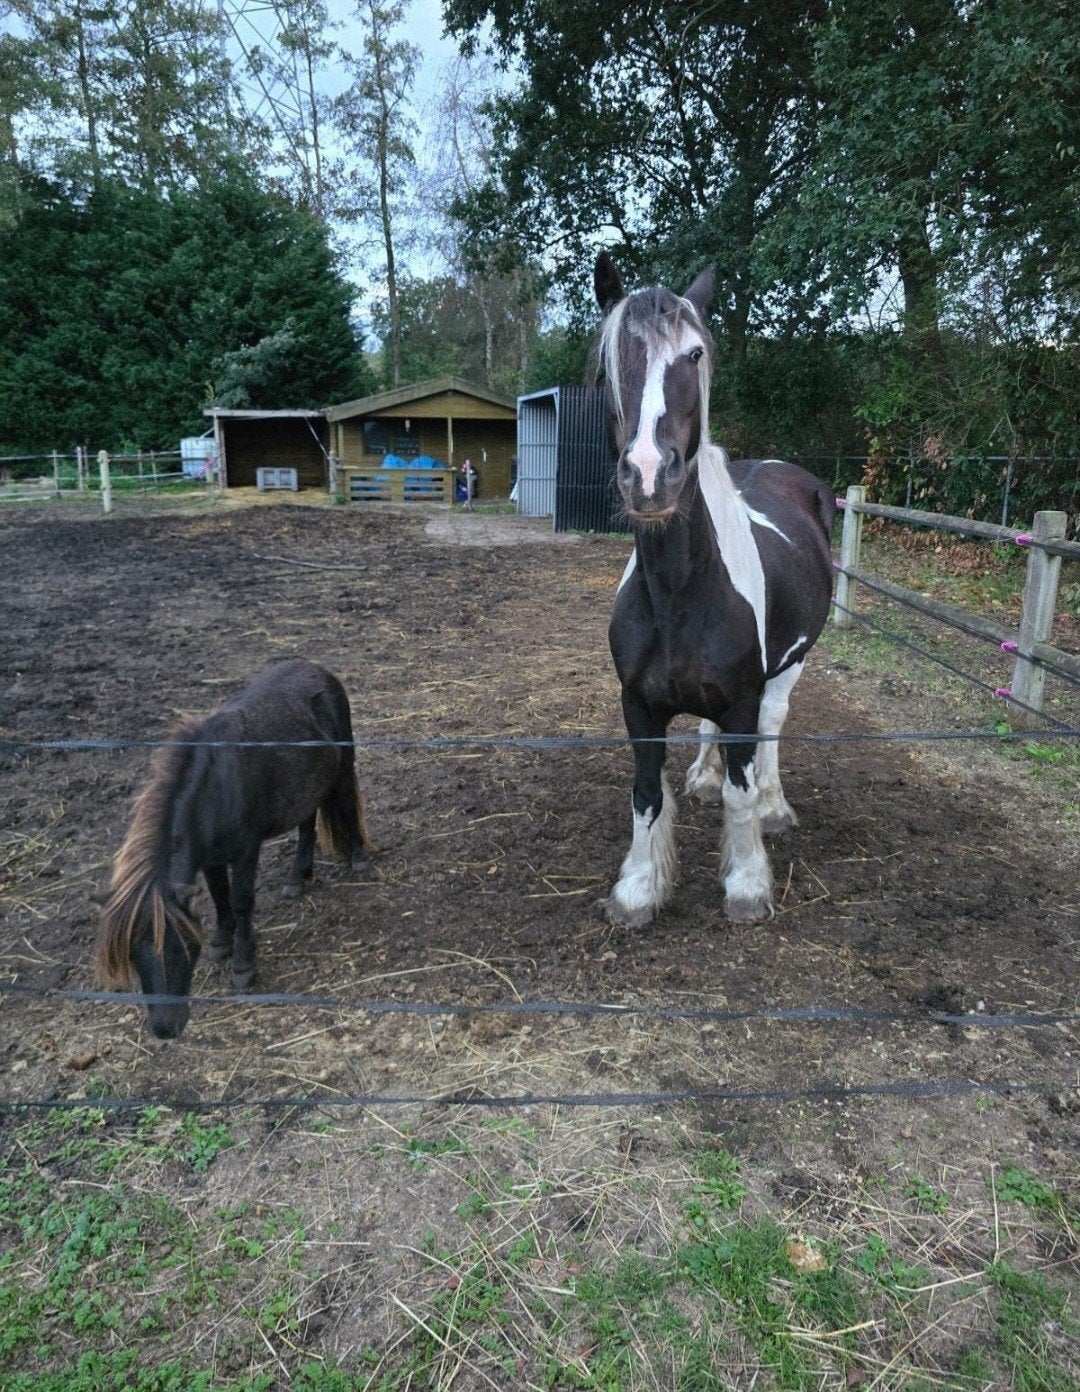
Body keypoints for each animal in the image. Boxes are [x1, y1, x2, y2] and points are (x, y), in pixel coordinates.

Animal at [95, 659, 372, 1039]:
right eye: (134, 954)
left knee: (344, 800)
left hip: (343, 765)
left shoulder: (245, 850)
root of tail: (320, 671)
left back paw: (358, 858)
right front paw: (222, 941)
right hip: (306, 785)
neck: (216, 788)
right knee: (306, 824)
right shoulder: (209, 857)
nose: (165, 1029)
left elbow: (241, 900)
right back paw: (296, 878)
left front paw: (243, 964)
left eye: (184, 946)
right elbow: (218, 895)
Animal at [593, 252, 835, 927]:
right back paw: (702, 775)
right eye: (607, 361)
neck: (679, 592)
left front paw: (748, 884)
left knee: (774, 724)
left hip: (792, 661)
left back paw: (776, 809)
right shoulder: (638, 706)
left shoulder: (744, 700)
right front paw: (638, 889)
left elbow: (741, 790)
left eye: (695, 353)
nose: (650, 475)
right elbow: (646, 795)